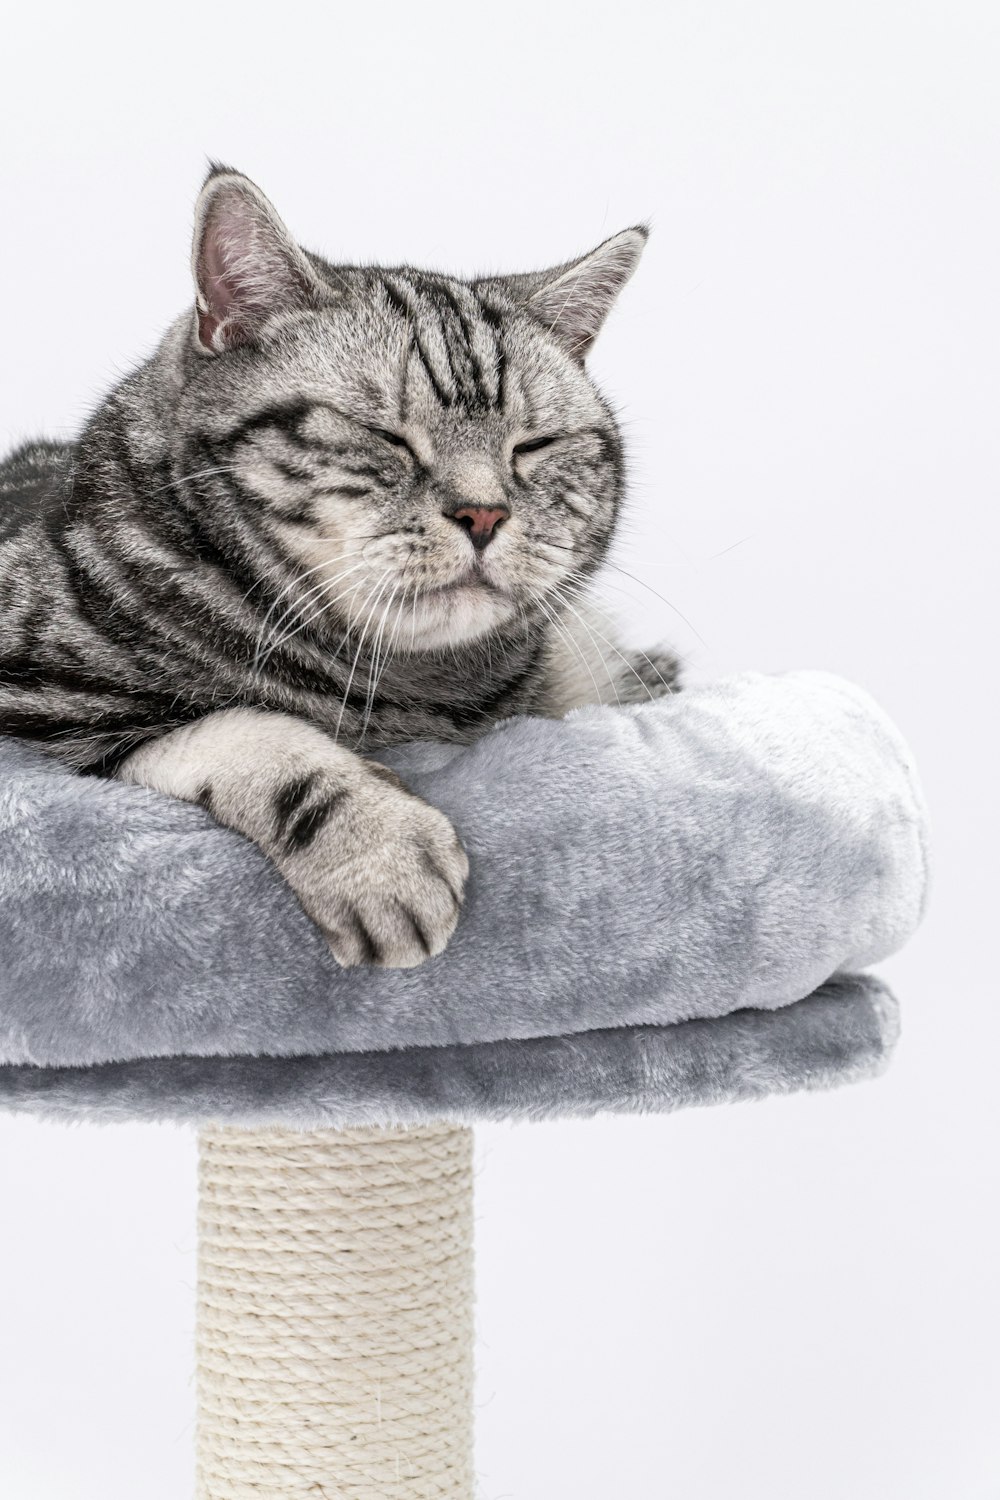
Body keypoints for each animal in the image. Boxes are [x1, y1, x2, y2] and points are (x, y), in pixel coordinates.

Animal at [0, 167, 677, 972]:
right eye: (386, 436)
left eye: (532, 447)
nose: (484, 513)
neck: (411, 696)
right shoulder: (42, 722)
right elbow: (245, 728)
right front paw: (377, 852)